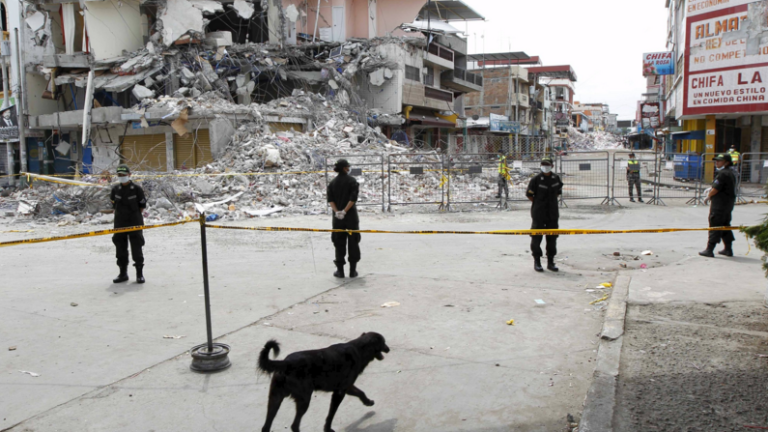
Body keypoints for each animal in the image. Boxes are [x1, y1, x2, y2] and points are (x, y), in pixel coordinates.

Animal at [258, 332, 390, 430]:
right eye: (383, 342)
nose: (389, 349)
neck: (359, 349)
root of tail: (286, 363)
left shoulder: (346, 387)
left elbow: (360, 392)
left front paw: (368, 402)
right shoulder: (339, 393)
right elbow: (331, 414)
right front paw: (327, 428)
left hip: (275, 399)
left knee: (266, 426)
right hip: (303, 400)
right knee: (294, 425)